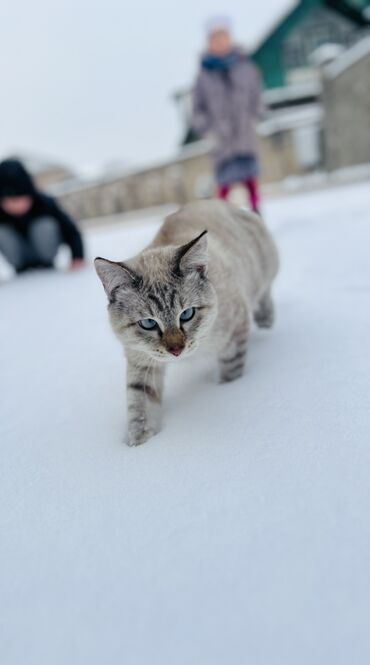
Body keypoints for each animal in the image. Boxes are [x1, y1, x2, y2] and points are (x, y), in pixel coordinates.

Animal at [94, 198, 278, 446]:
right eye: (149, 324)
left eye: (187, 314)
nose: (176, 350)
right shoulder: (141, 360)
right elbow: (139, 405)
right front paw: (139, 444)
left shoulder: (234, 333)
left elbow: (231, 372)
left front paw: (228, 392)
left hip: (263, 267)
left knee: (265, 291)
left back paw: (266, 320)